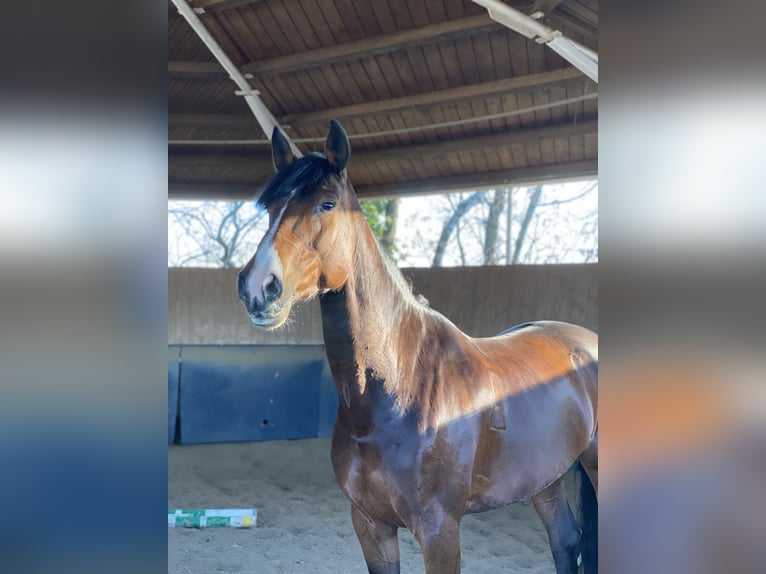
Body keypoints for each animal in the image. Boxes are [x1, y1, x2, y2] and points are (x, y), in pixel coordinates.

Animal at [240, 119, 600, 572]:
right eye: (271, 208)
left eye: (326, 204)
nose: (258, 287)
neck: (396, 390)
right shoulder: (370, 524)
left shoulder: (439, 530)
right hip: (545, 478)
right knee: (566, 541)